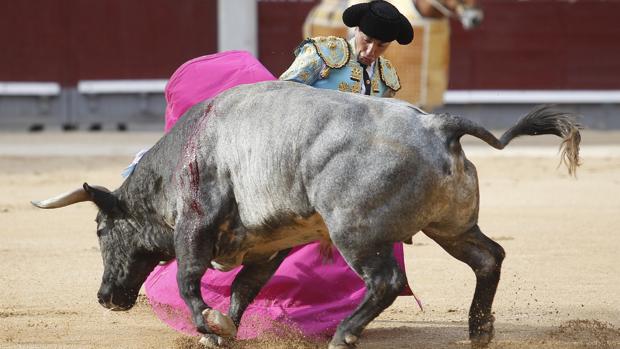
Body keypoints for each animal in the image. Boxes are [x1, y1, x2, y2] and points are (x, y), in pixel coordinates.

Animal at [31, 80, 580, 346]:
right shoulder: (269, 245)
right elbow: (243, 289)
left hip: (356, 232)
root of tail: (439, 124)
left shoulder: (195, 223)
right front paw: (224, 331)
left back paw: (344, 336)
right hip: (451, 225)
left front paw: (208, 326)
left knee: (385, 281)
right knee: (488, 257)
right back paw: (479, 330)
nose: (104, 297)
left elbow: (190, 281)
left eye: (100, 228)